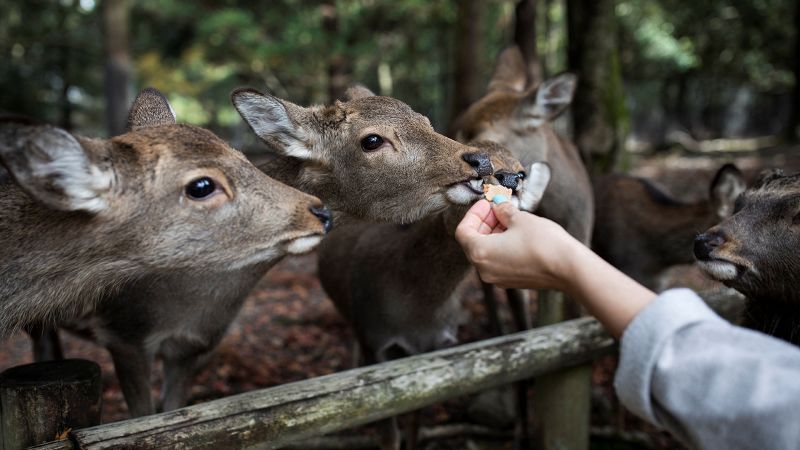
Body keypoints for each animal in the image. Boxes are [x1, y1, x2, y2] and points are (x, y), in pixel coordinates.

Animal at [36, 85, 500, 418]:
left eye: (425, 119)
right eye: (372, 140)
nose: (479, 160)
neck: (186, 296)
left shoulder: (196, 345)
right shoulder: (125, 334)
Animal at [318, 139, 552, 448]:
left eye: (522, 172)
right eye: (479, 165)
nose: (511, 179)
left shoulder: (432, 348)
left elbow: (416, 420)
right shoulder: (374, 339)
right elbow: (389, 433)